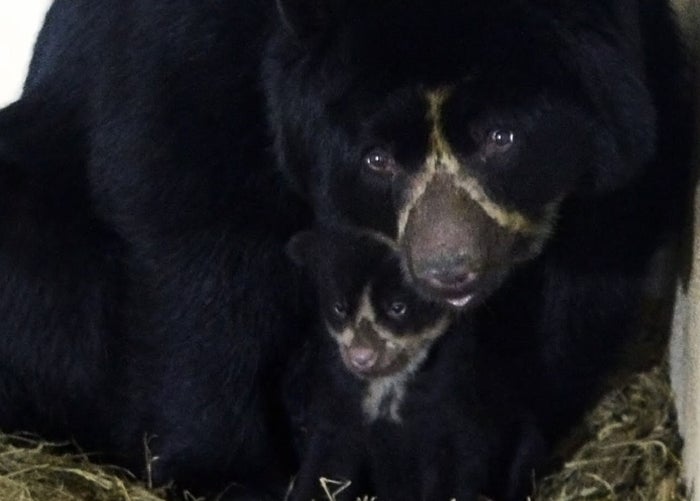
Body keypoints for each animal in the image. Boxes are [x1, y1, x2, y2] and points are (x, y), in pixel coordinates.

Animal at [285, 225, 545, 501]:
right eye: (339, 308)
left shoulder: (451, 402)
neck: (388, 385)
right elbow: (328, 466)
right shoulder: (340, 403)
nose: (362, 357)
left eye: (398, 307)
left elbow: (454, 465)